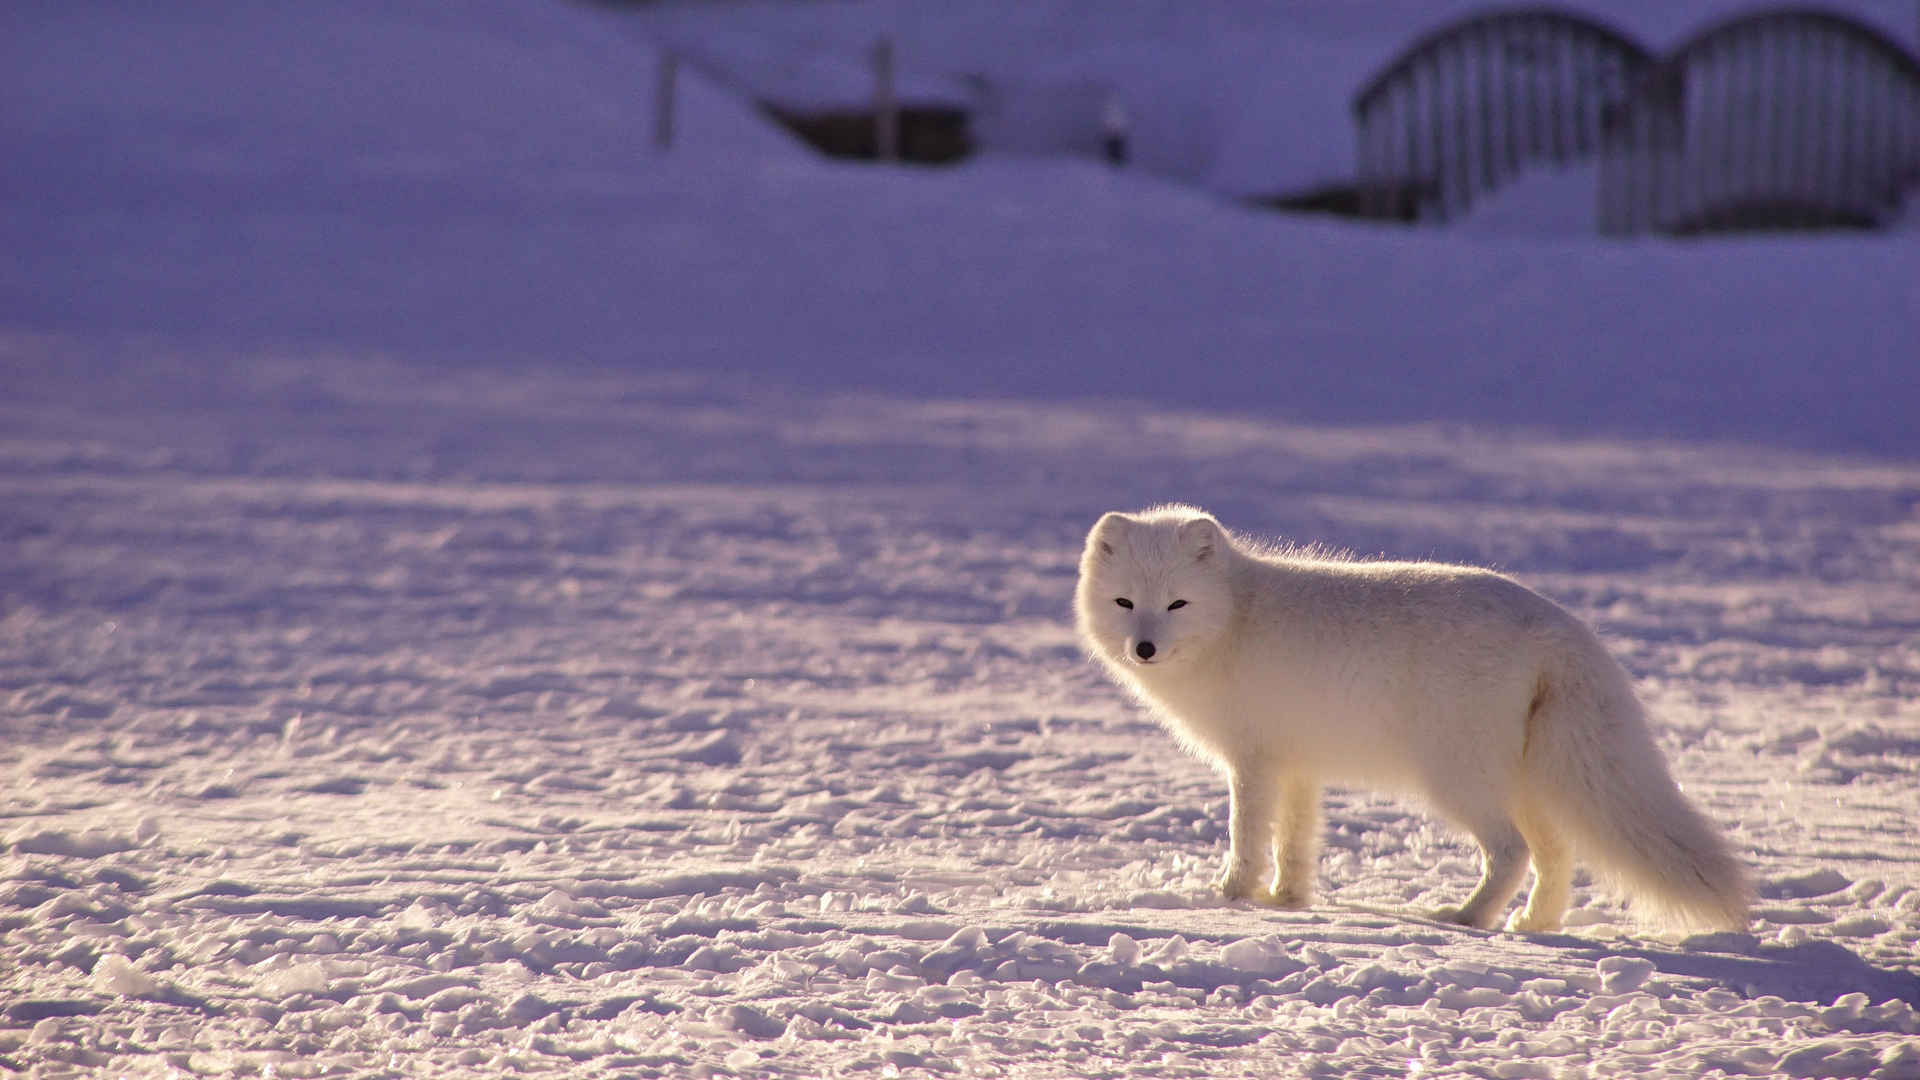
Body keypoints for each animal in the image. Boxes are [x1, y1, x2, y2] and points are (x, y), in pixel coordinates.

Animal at [1082, 499, 1758, 930]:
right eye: (1125, 603)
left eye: (1177, 604)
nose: (1144, 648)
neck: (1235, 619)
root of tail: (1562, 628)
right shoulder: (1297, 764)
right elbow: (1296, 840)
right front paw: (1287, 899)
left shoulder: (1253, 762)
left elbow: (1246, 836)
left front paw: (1231, 896)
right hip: (1529, 782)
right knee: (1556, 855)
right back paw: (1531, 925)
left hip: (1456, 779)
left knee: (1512, 852)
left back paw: (1468, 917)